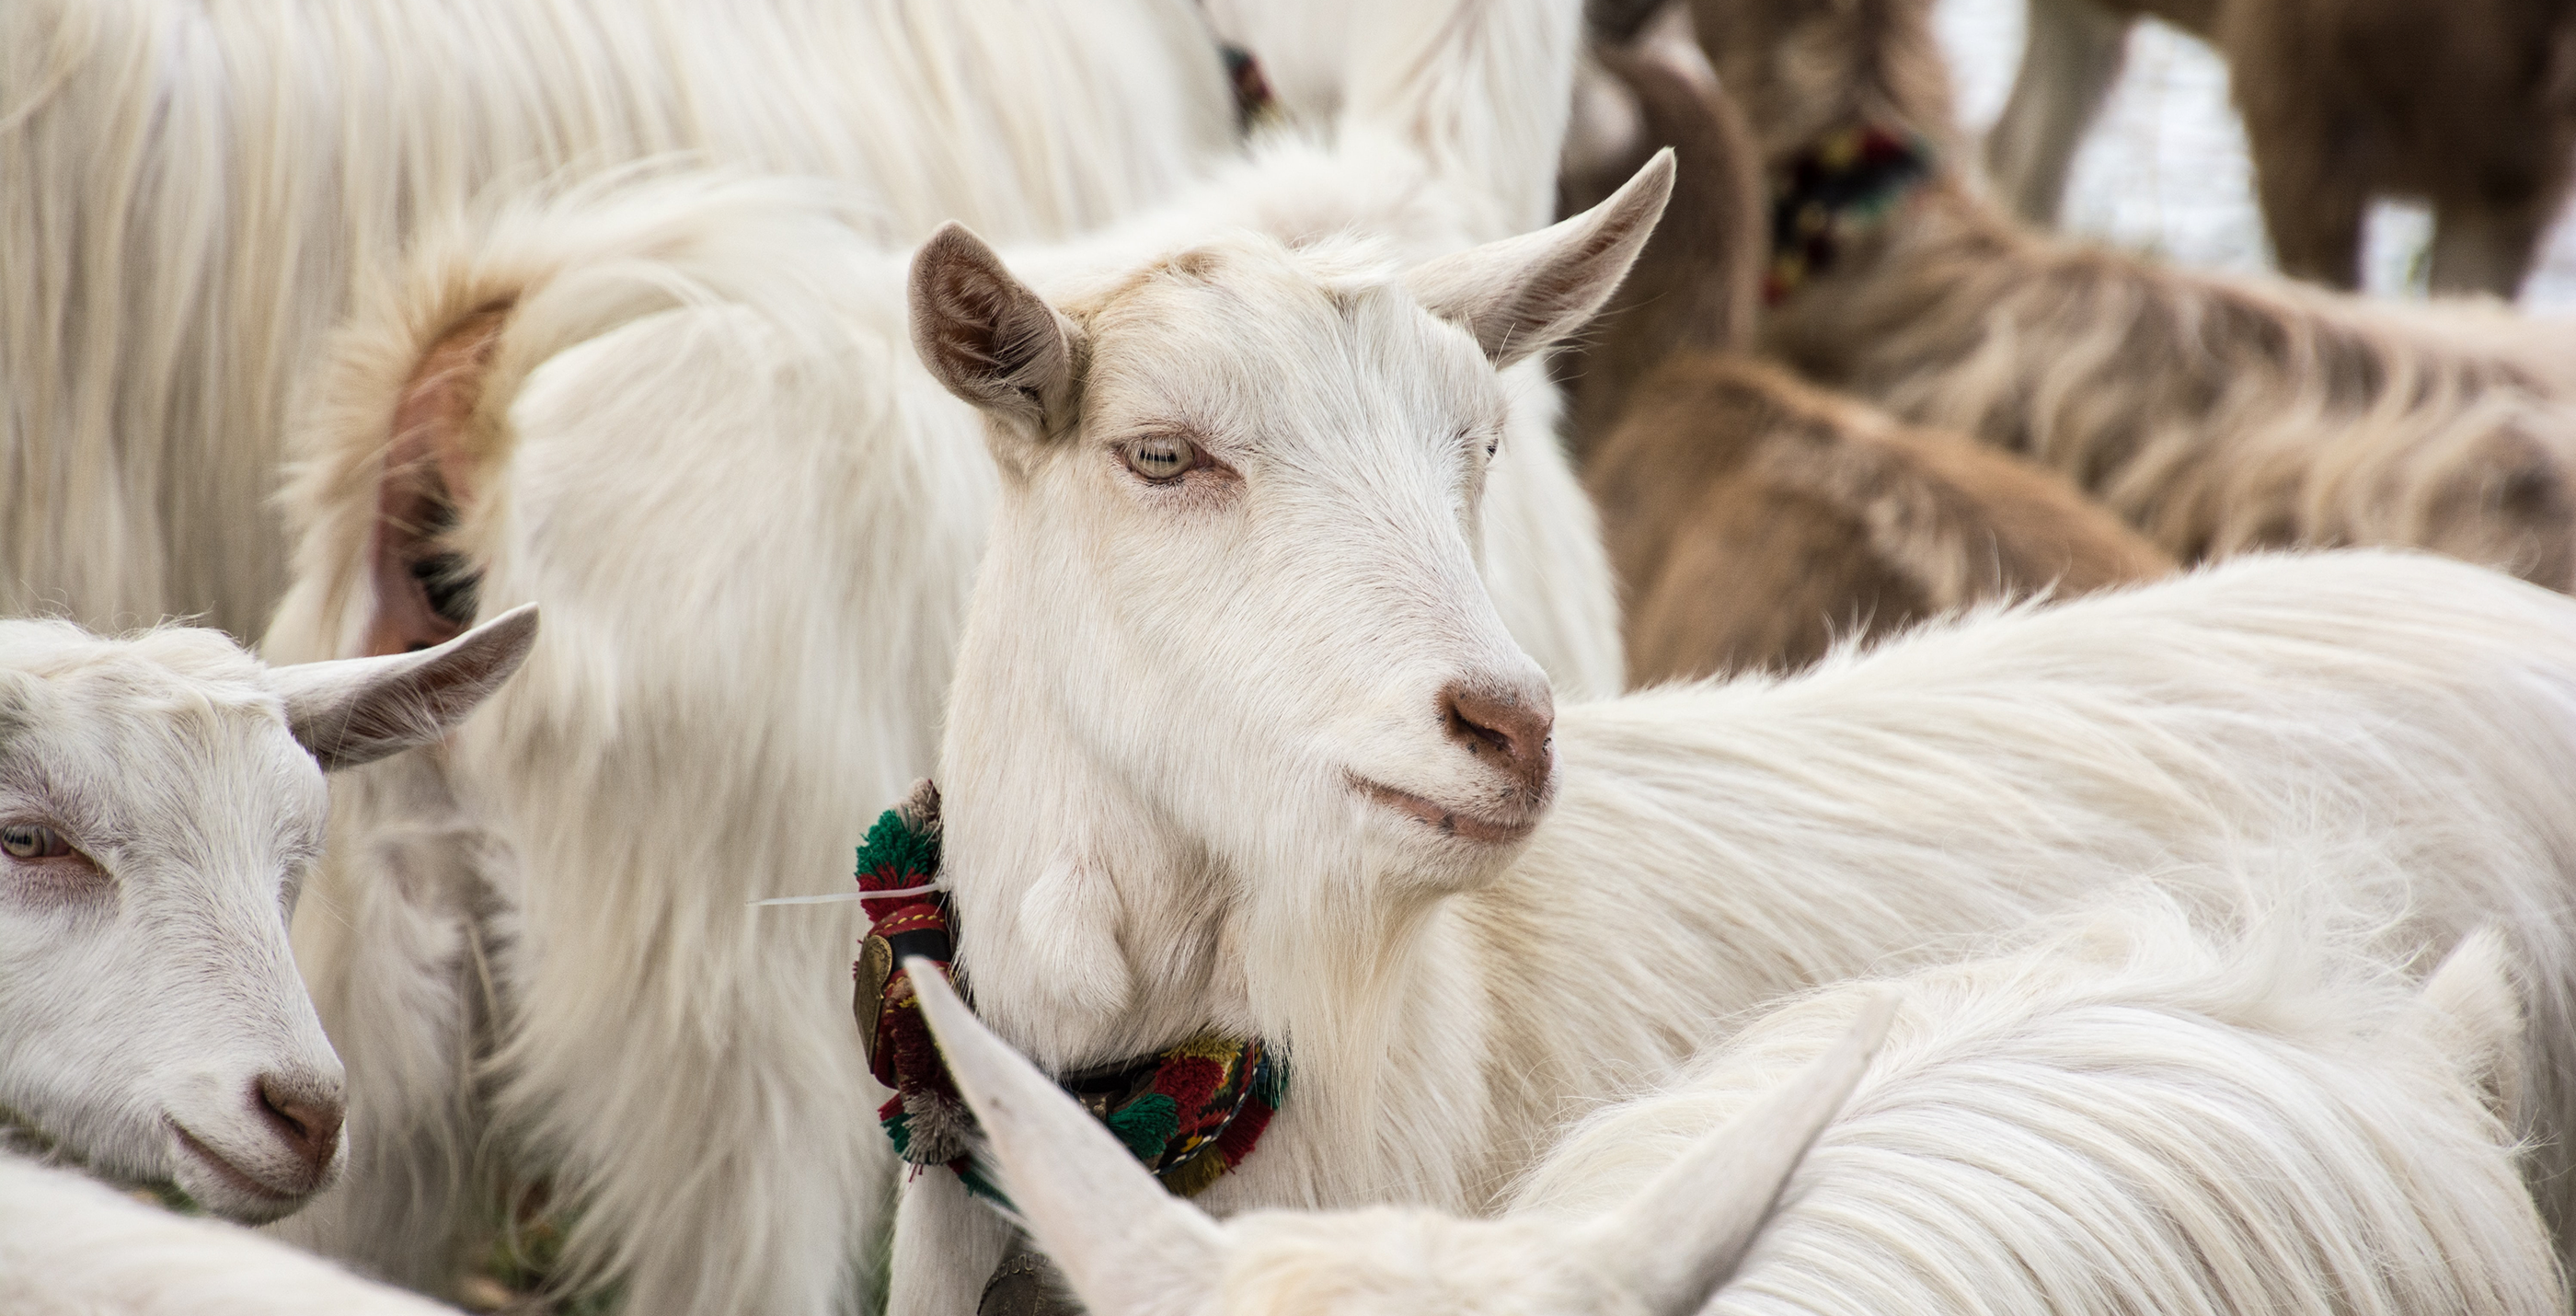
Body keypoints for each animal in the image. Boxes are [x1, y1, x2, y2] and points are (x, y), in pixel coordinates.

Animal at [261, 4, 1610, 1309]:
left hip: (365, 1011)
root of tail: (465, 426)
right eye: (1162, 454)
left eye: (1476, 440)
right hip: (717, 1057)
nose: (1508, 725)